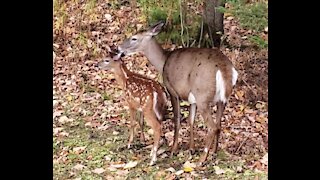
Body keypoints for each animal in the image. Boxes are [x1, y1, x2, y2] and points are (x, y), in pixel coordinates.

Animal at [117, 20, 238, 165]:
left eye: (134, 38)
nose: (118, 48)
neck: (163, 62)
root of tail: (225, 69)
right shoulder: (191, 98)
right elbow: (191, 120)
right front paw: (191, 148)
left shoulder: (172, 91)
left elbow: (177, 120)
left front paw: (173, 149)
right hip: (222, 99)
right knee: (219, 124)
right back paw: (214, 152)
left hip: (203, 96)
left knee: (212, 127)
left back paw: (202, 159)